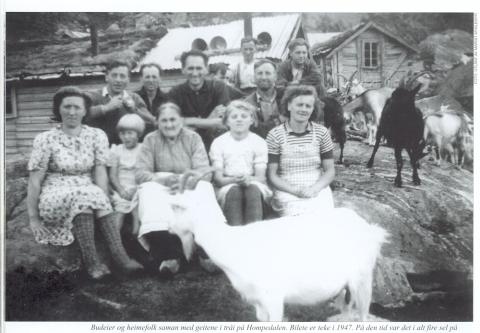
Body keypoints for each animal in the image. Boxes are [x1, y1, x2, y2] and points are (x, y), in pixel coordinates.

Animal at [167, 178, 388, 320]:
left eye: (175, 207)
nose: (168, 228)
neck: (234, 246)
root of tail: (370, 229)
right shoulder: (258, 301)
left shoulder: (273, 297)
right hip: (345, 285)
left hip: (363, 278)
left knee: (363, 313)